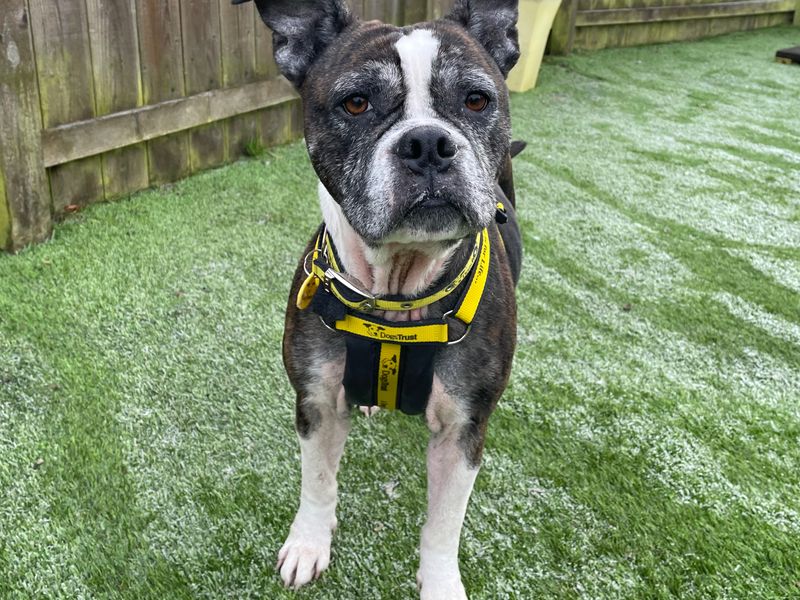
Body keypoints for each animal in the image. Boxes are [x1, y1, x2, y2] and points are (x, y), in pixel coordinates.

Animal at [234, 2, 520, 596]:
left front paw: (440, 583)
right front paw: (309, 544)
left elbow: (443, 524)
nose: (428, 143)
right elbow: (317, 482)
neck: (398, 294)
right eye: (356, 103)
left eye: (475, 100)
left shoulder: (463, 431)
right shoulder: (316, 403)